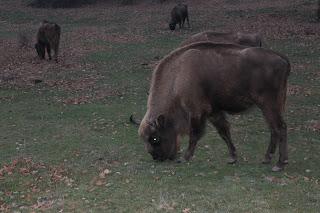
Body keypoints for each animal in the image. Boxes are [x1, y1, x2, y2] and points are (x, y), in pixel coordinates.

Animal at [139, 41, 292, 171]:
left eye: (154, 138)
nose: (157, 158)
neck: (178, 75)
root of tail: (282, 59)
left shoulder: (196, 111)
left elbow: (195, 134)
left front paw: (185, 157)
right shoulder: (213, 111)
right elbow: (224, 131)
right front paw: (232, 157)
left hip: (269, 105)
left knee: (280, 127)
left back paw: (280, 164)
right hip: (271, 106)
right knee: (273, 129)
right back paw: (267, 158)